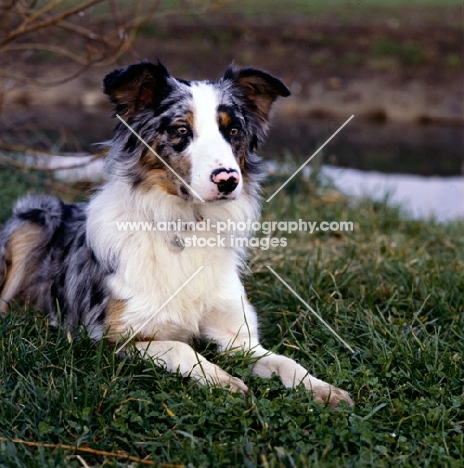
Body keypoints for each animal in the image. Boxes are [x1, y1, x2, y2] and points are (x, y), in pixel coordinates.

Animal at [0, 61, 354, 406]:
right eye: (181, 130)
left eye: (233, 130)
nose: (228, 180)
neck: (187, 225)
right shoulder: (113, 337)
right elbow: (181, 348)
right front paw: (222, 380)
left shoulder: (239, 339)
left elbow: (284, 361)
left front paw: (321, 387)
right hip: (36, 215)